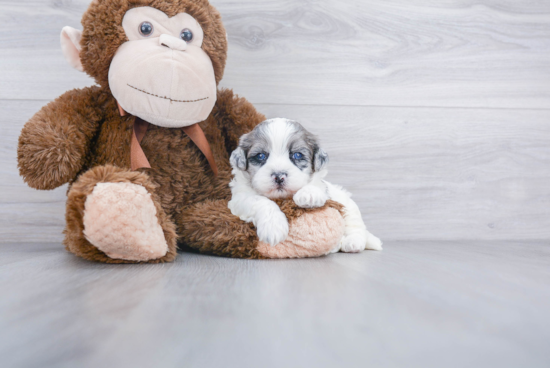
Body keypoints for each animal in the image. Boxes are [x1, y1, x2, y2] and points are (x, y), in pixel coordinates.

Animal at [229, 118, 384, 253]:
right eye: (261, 156)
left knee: (356, 226)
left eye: (297, 155)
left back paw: (353, 242)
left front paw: (309, 195)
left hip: (349, 206)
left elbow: (315, 185)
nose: (279, 176)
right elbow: (260, 201)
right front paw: (273, 227)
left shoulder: (323, 187)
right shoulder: (239, 198)